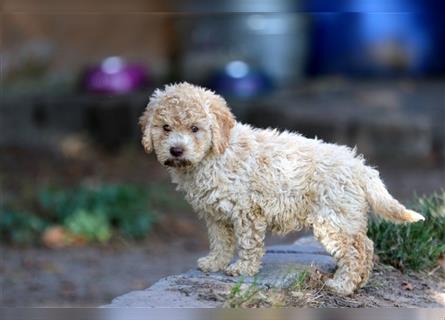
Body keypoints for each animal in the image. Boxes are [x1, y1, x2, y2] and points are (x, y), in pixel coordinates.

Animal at [139, 82, 424, 296]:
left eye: (195, 128)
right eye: (165, 127)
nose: (176, 150)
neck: (216, 154)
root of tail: (360, 166)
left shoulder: (246, 211)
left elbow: (248, 243)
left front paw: (243, 269)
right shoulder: (215, 214)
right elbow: (220, 241)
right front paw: (215, 262)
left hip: (333, 219)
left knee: (356, 250)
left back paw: (342, 286)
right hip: (345, 217)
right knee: (366, 245)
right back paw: (359, 282)